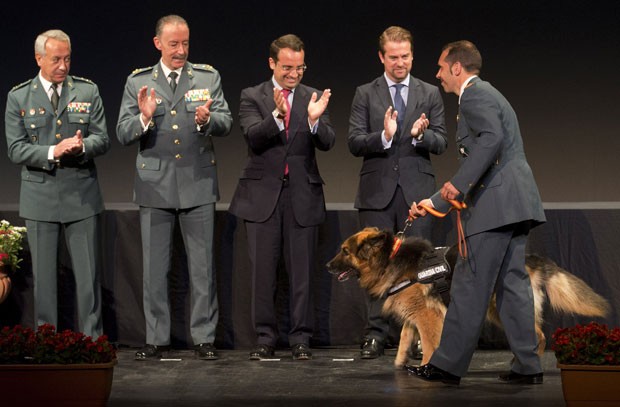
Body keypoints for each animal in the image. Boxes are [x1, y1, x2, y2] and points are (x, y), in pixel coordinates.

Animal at [326, 228, 608, 368]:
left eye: (344, 251)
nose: (327, 266)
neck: (390, 259)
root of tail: (530, 259)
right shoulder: (414, 313)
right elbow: (406, 339)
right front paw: (399, 366)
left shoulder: (428, 316)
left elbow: (429, 343)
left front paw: (426, 367)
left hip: (500, 308)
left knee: (538, 335)